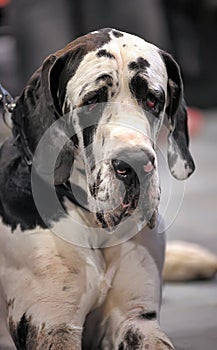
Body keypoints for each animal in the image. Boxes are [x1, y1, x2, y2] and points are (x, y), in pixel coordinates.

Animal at [0, 28, 195, 348]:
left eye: (153, 100)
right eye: (92, 101)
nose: (135, 163)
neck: (94, 225)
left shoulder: (137, 319)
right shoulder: (52, 325)